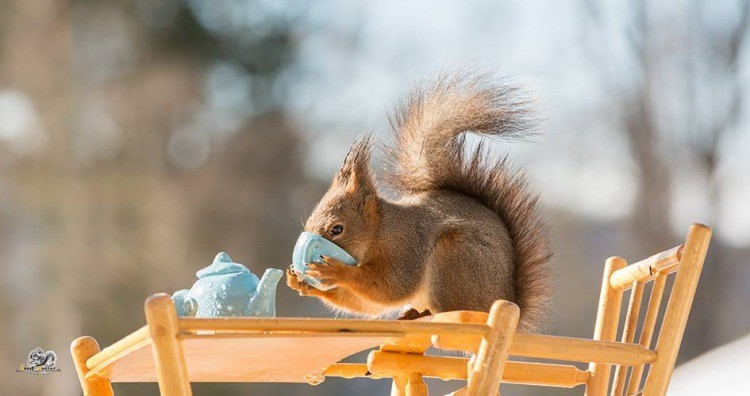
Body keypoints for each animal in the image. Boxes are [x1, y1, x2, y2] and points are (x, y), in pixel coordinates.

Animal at [286, 72, 552, 332]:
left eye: (337, 229)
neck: (380, 230)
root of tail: (509, 303)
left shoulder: (406, 247)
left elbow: (390, 288)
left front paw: (335, 271)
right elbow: (365, 304)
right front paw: (300, 281)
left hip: (454, 257)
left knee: (450, 309)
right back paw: (411, 314)